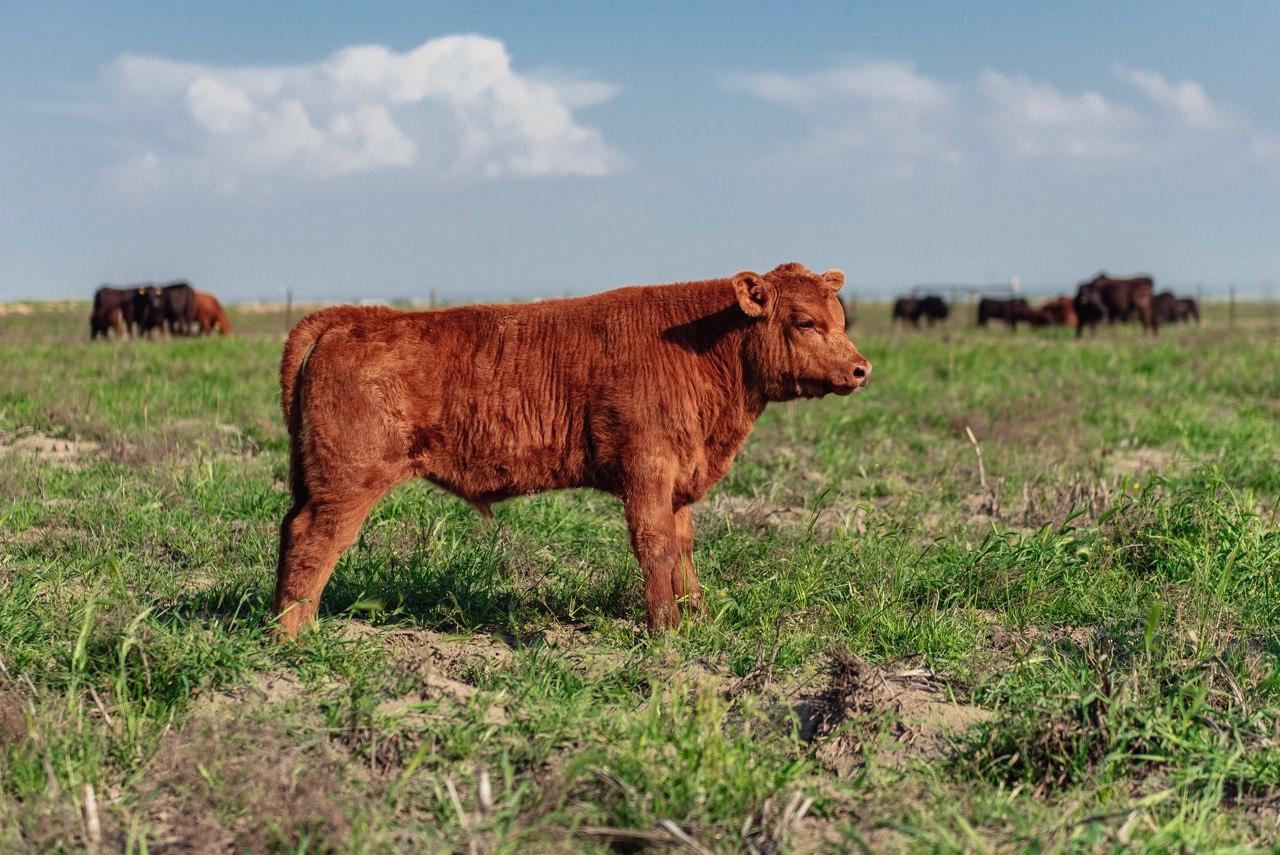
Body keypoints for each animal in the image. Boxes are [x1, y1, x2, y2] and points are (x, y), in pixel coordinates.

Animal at [270, 263, 870, 637]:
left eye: (840, 318)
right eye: (804, 321)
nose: (861, 368)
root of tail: (355, 316)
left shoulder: (678, 481)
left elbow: (683, 548)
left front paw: (696, 618)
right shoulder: (646, 470)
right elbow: (654, 547)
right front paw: (666, 633)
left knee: (290, 530)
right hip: (348, 481)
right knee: (314, 542)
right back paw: (294, 637)